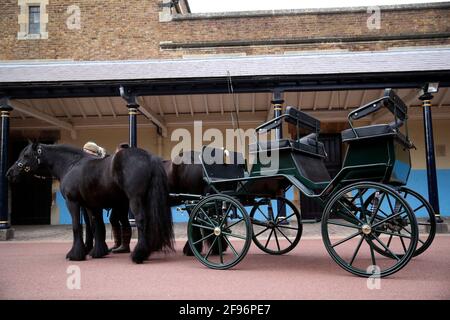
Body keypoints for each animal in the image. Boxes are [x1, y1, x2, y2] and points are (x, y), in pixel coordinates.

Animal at [8, 142, 176, 262]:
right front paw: (97, 251)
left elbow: (77, 226)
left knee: (141, 221)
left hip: (135, 199)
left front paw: (75, 254)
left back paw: (138, 255)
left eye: (26, 155)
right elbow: (95, 226)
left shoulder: (73, 202)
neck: (71, 165)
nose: (10, 173)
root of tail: (149, 157)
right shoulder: (91, 205)